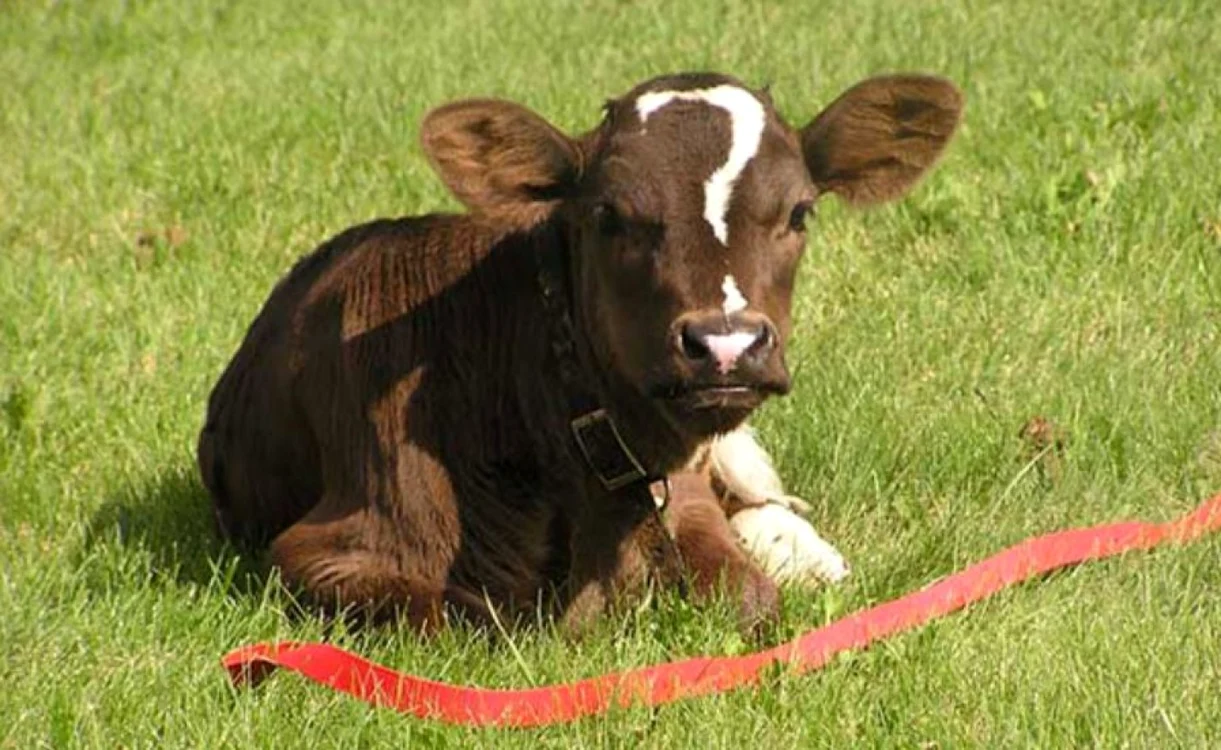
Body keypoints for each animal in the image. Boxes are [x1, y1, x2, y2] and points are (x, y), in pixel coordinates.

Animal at [196, 71, 962, 634]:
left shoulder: (684, 492)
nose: (726, 345)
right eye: (609, 215)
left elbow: (745, 596)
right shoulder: (329, 546)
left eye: (800, 211)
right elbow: (463, 617)